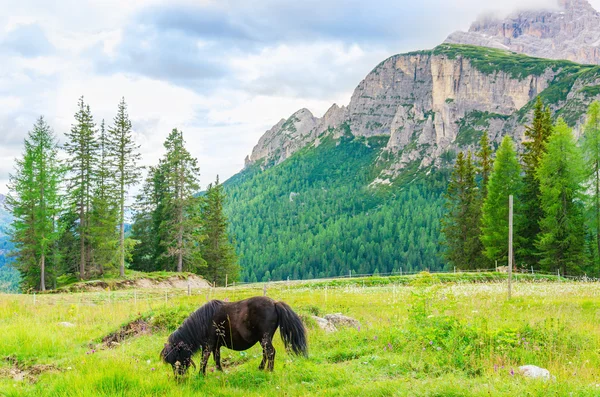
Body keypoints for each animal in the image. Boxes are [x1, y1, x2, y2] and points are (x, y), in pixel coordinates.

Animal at [159, 296, 308, 376]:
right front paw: (220, 372)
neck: (204, 321)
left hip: (264, 338)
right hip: (264, 339)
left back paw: (269, 371)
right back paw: (261, 368)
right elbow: (217, 359)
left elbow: (204, 359)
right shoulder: (216, 345)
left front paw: (202, 374)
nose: (179, 379)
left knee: (270, 352)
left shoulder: (208, 344)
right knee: (266, 352)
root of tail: (275, 303)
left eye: (176, 359)